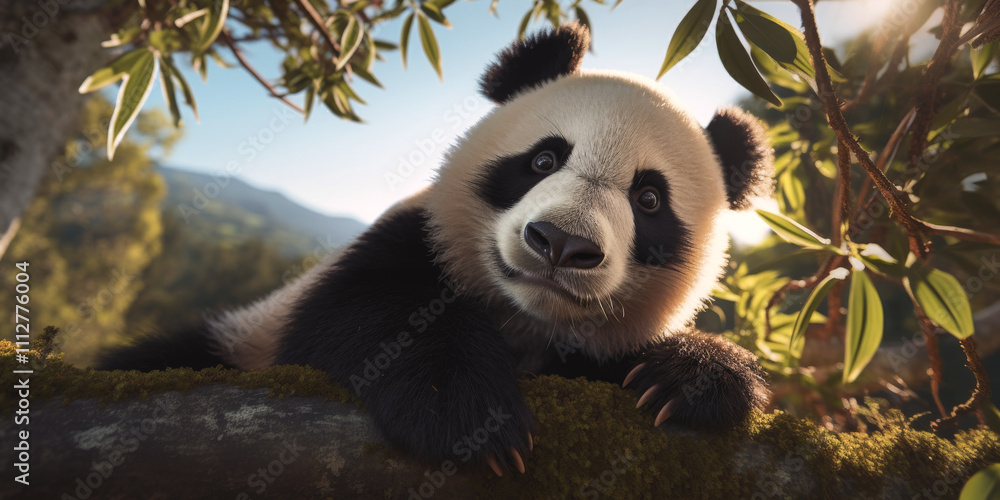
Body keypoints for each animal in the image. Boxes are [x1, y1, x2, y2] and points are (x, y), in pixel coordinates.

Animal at [99, 23, 774, 476]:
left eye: (649, 199)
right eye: (544, 160)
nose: (561, 243)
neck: (524, 320)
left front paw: (689, 377)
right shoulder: (404, 243)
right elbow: (363, 316)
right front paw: (468, 416)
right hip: (232, 342)